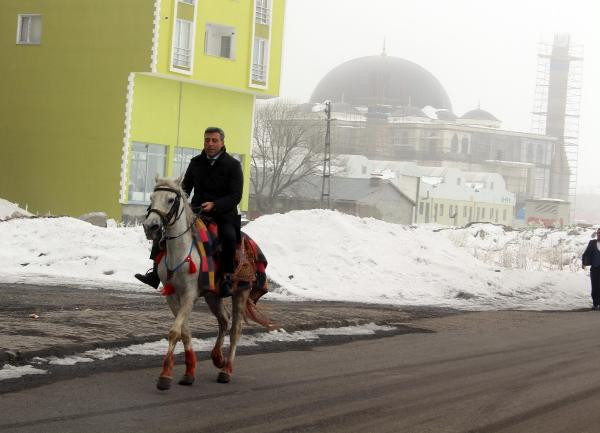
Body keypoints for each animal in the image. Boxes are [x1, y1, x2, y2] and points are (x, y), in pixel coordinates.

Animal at [143, 176, 272, 388]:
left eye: (170, 200)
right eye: (152, 198)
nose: (151, 227)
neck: (181, 251)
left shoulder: (189, 295)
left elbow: (175, 331)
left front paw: (165, 375)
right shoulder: (172, 295)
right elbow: (184, 332)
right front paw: (189, 373)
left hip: (241, 292)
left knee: (235, 329)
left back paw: (226, 370)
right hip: (213, 296)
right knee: (224, 320)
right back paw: (217, 357)